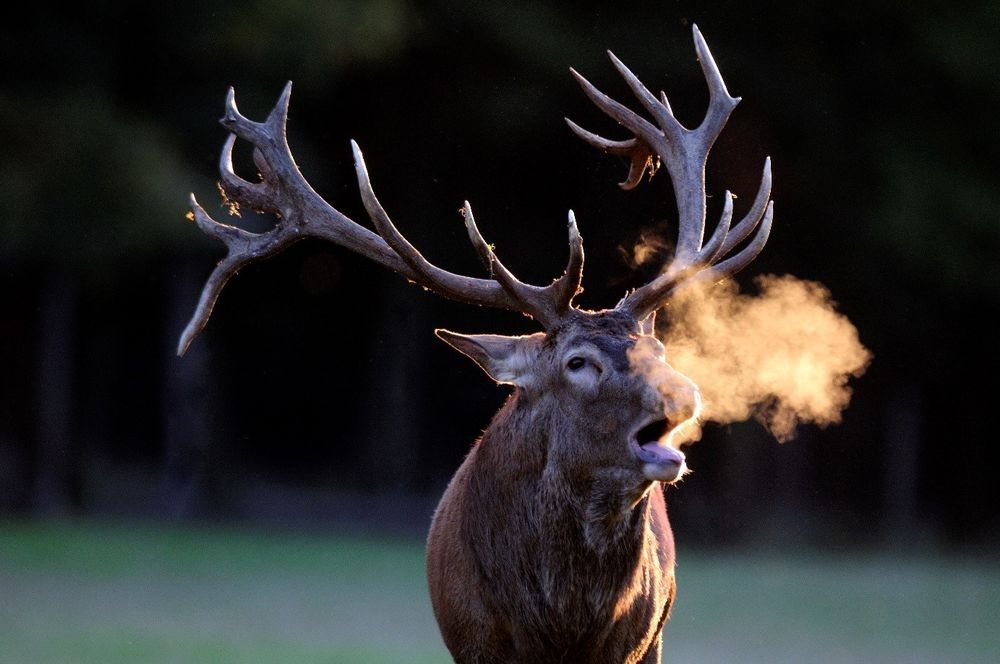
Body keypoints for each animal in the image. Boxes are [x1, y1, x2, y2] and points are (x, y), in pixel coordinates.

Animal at [177, 25, 772, 664]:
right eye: (578, 362)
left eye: (658, 354)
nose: (683, 393)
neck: (561, 624)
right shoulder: (476, 640)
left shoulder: (636, 644)